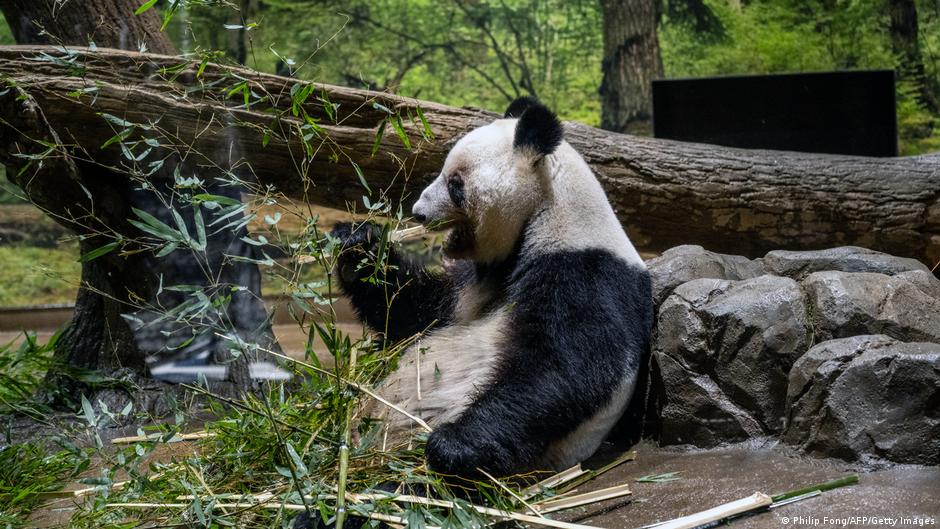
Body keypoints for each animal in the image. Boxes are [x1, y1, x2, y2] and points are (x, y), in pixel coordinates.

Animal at [332, 96, 653, 478]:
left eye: (455, 182)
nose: (418, 212)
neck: (545, 213)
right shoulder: (474, 281)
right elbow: (415, 315)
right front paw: (358, 245)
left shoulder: (585, 271)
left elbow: (567, 368)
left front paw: (452, 445)